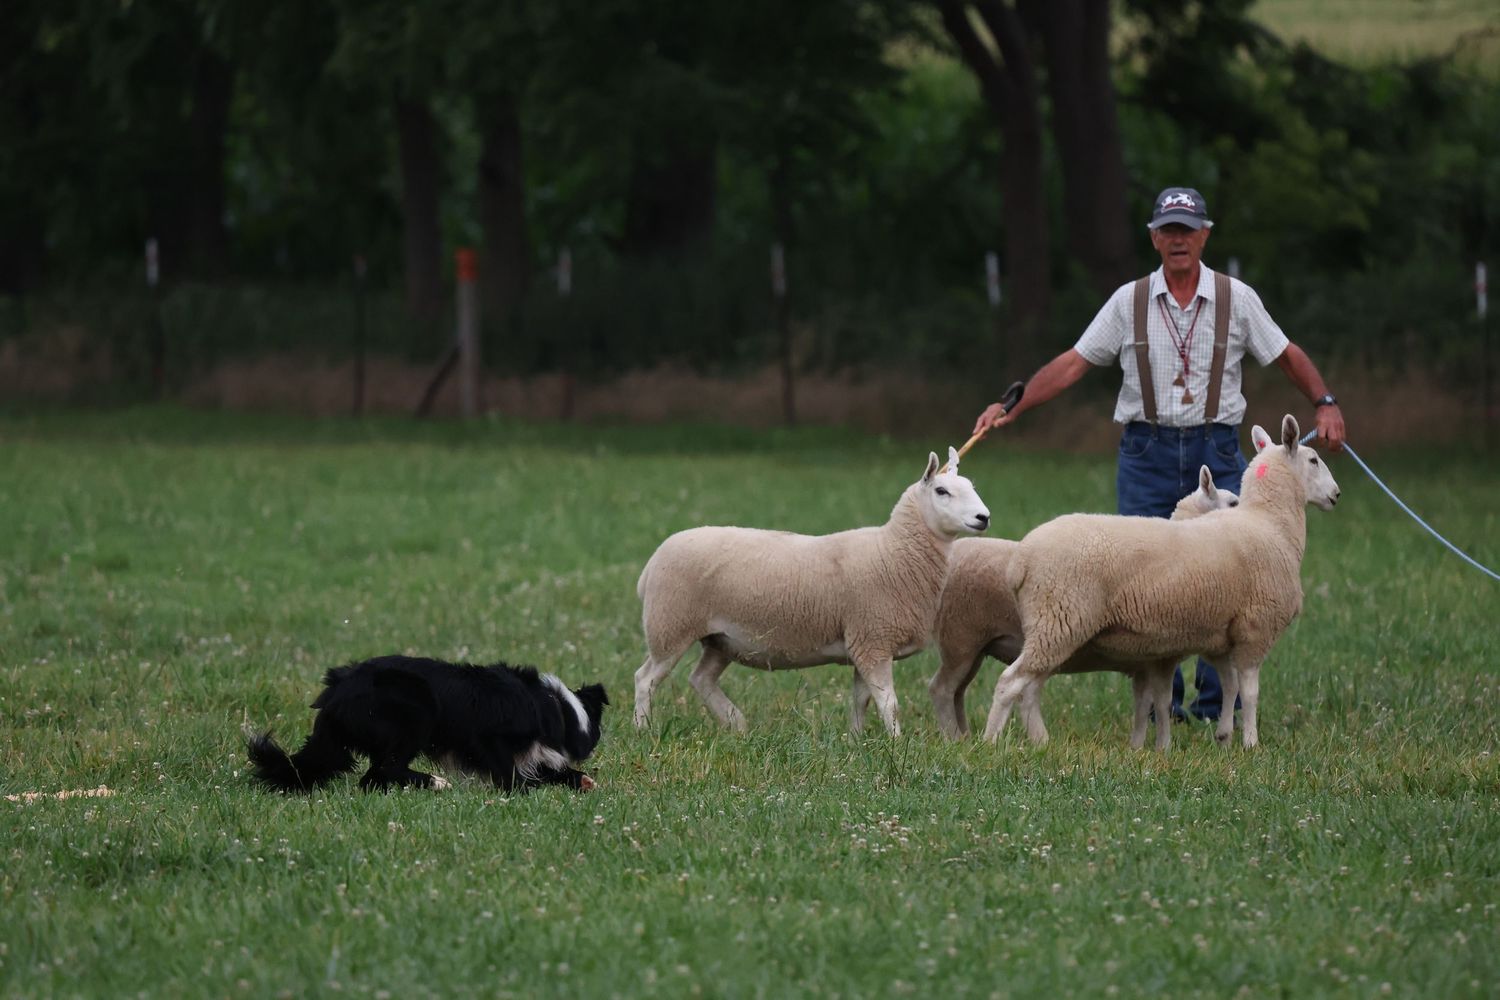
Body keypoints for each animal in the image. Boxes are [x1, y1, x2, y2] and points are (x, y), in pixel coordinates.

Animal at [632, 448, 991, 735]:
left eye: (973, 488)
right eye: (942, 491)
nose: (983, 517)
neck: (892, 550)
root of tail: (649, 566)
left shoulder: (863, 641)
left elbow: (860, 700)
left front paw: (858, 741)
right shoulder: (873, 640)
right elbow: (889, 703)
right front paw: (896, 744)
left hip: (721, 639)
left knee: (701, 678)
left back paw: (736, 723)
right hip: (670, 626)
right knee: (645, 679)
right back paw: (643, 731)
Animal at [928, 464, 1238, 747]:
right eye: (1233, 503)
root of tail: (1020, 563)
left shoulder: (1146, 661)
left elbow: (1146, 704)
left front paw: (1139, 748)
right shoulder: (1160, 658)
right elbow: (1161, 703)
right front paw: (1162, 747)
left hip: (985, 646)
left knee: (966, 691)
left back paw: (977, 737)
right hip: (967, 638)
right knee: (949, 688)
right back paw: (971, 739)